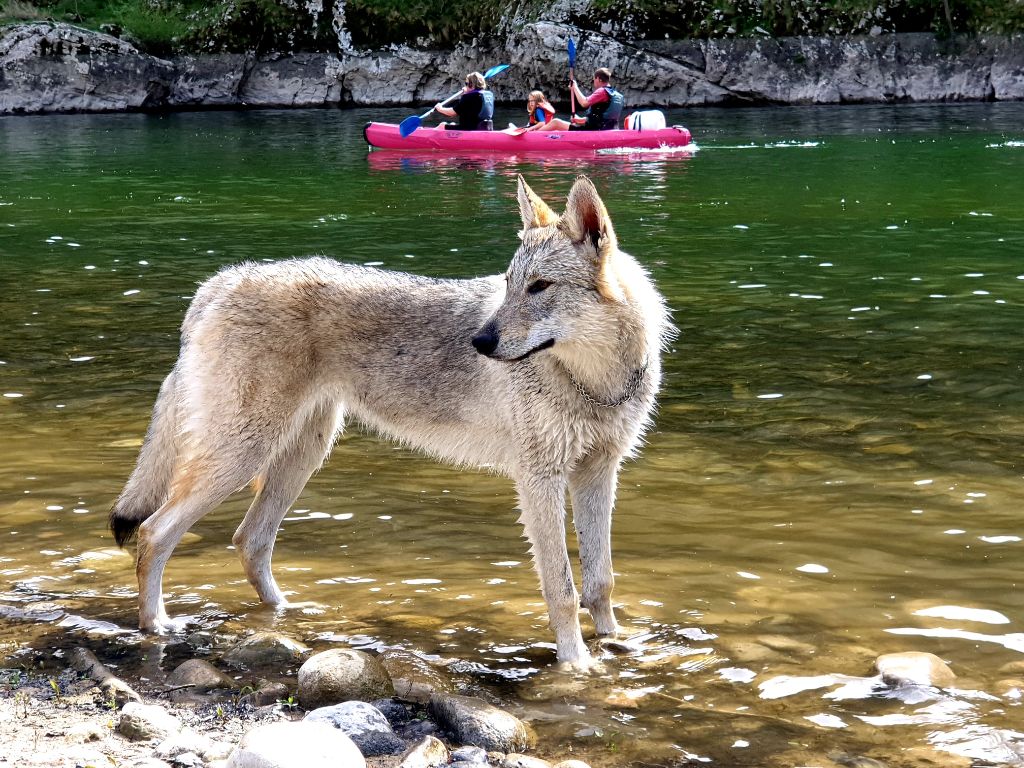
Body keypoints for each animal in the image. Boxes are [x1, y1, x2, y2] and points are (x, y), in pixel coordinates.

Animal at [110, 174, 671, 667]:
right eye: (510, 286)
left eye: (539, 287)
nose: (479, 342)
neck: (595, 380)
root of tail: (219, 281)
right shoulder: (540, 481)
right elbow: (562, 586)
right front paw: (577, 665)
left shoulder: (599, 474)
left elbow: (601, 580)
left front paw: (616, 644)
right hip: (244, 455)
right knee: (155, 533)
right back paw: (156, 625)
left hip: (301, 456)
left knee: (249, 540)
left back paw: (288, 615)